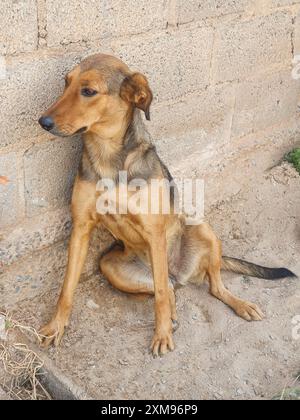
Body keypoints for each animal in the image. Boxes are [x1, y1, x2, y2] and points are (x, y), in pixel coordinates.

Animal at [38, 54, 296, 356]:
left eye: (88, 91)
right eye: (65, 83)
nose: (42, 121)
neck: (109, 155)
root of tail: (180, 273)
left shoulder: (154, 231)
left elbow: (160, 295)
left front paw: (161, 335)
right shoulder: (80, 227)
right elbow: (67, 287)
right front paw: (56, 327)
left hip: (202, 229)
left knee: (206, 287)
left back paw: (240, 305)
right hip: (109, 265)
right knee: (169, 287)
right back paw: (174, 312)